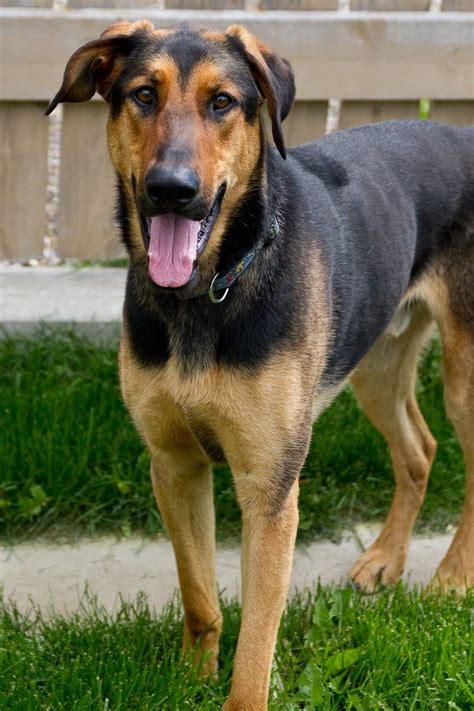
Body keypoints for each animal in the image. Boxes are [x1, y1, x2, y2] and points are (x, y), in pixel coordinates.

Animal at [49, 22, 474, 711]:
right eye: (143, 94)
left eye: (223, 102)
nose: (172, 190)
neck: (207, 295)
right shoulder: (175, 464)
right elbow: (201, 598)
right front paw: (191, 681)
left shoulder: (270, 486)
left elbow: (258, 633)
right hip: (375, 362)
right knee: (419, 449)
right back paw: (386, 558)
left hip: (463, 377)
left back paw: (453, 576)